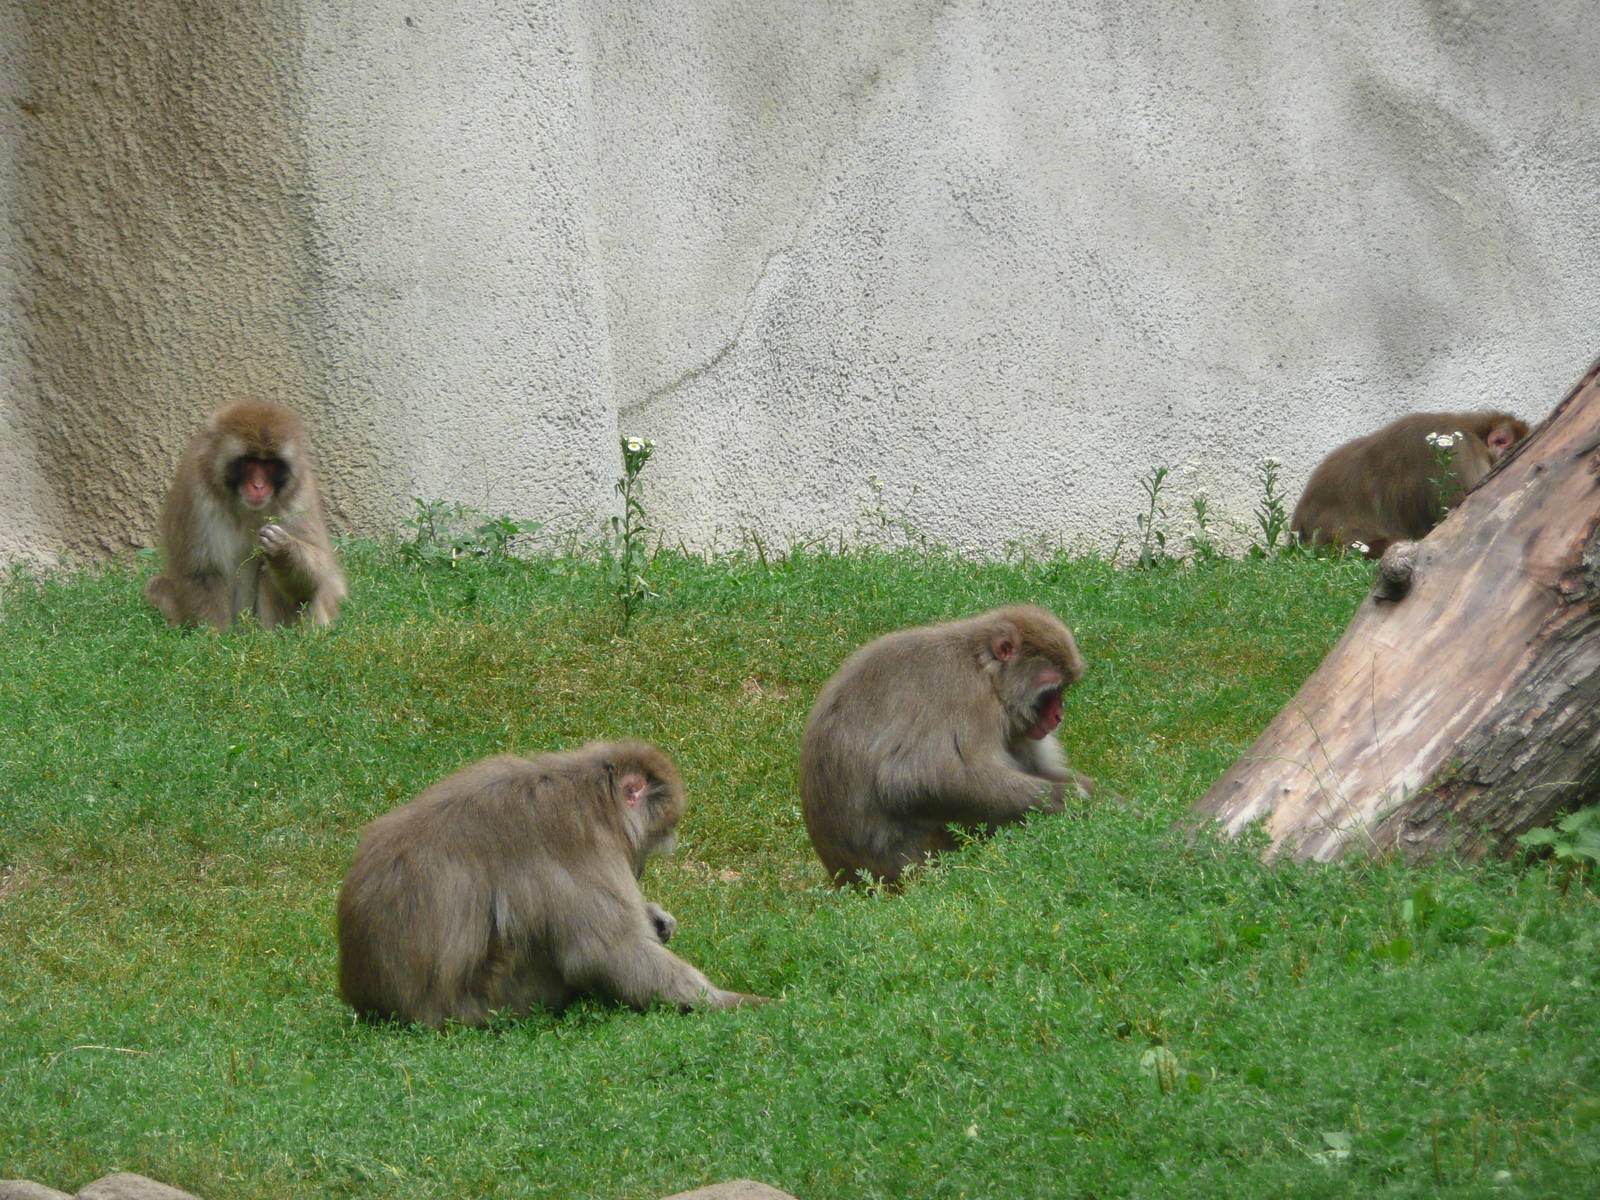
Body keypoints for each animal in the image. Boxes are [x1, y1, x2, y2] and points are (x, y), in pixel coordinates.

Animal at [144, 400, 346, 630]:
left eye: (269, 464)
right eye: (251, 462)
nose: (258, 486)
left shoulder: (299, 492)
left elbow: (318, 570)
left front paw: (282, 549)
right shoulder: (194, 487)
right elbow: (202, 572)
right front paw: (215, 636)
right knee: (158, 586)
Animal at [336, 740, 770, 1027]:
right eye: (659, 836)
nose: (640, 871)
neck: (593, 791)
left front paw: (657, 917)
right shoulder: (582, 841)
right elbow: (607, 952)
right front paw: (732, 1002)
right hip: (496, 996)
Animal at [799, 605, 1101, 888]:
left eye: (1062, 690)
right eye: (1051, 691)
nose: (1058, 715)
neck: (983, 668)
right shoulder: (971, 700)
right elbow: (914, 778)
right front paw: (1070, 800)